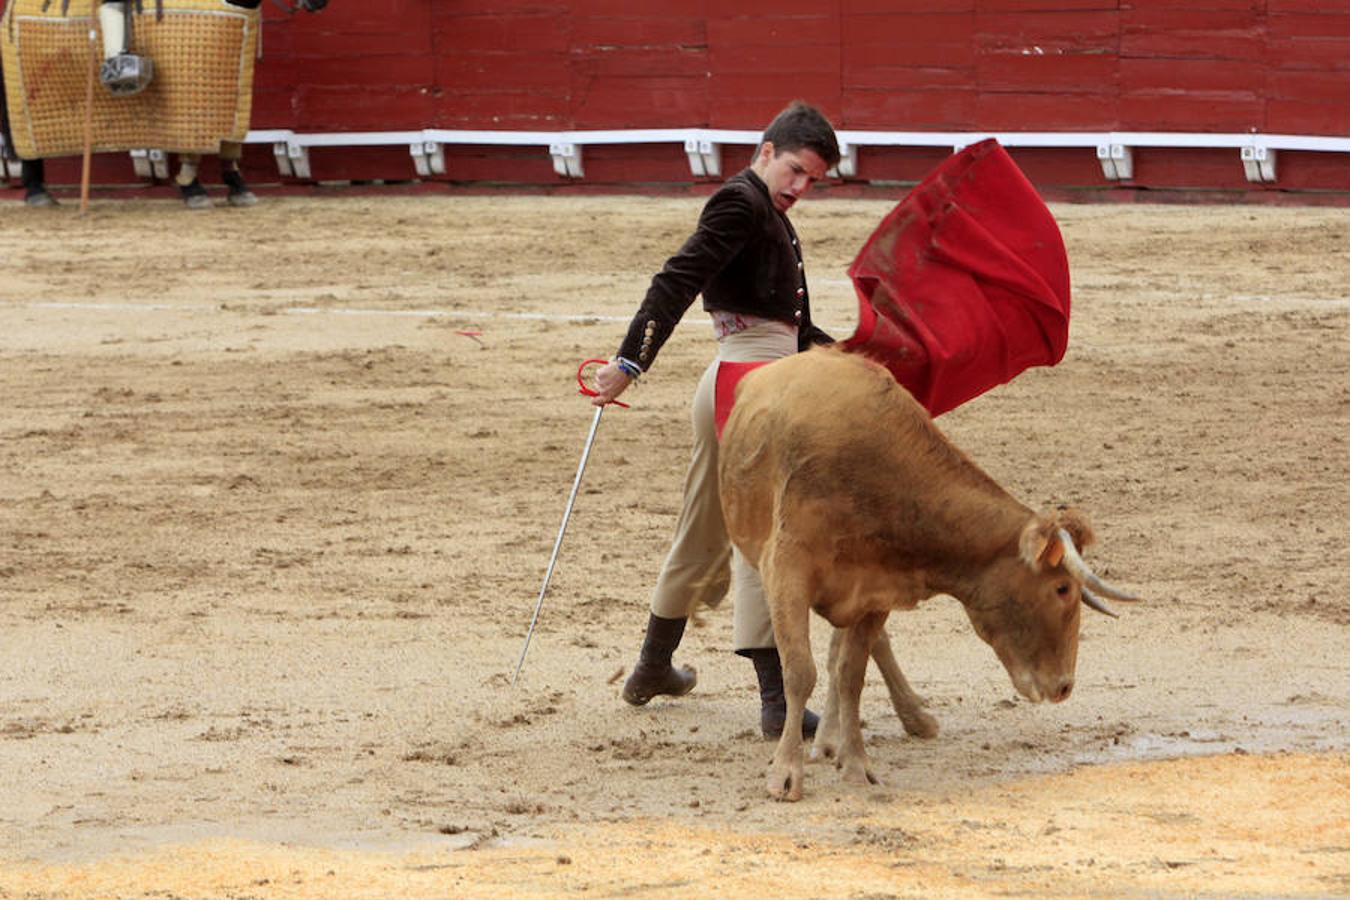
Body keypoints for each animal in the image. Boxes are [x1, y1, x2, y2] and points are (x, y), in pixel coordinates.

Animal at [718, 348, 1139, 804]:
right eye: (1062, 588)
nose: (1063, 686)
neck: (881, 477)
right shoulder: (787, 571)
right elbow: (799, 671)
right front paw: (786, 775)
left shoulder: (875, 589)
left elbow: (851, 674)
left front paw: (856, 764)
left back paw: (876, 728)